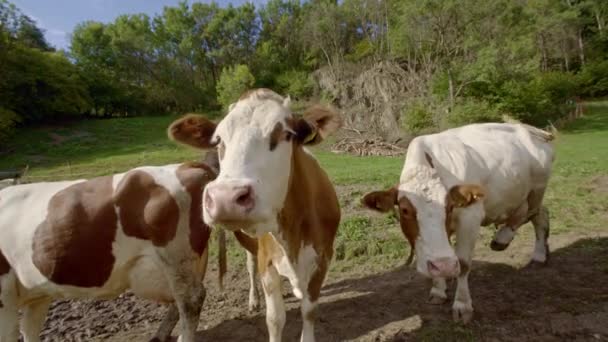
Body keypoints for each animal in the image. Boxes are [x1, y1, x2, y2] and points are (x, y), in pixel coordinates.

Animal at [0, 160, 223, 342]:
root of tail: (185, 166)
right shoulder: (37, 296)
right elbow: (29, 330)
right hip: (187, 263)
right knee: (181, 302)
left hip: (175, 256)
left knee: (190, 300)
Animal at [169, 88, 342, 342]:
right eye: (219, 139)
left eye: (286, 134)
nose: (225, 197)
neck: (293, 235)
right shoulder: (266, 259)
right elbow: (275, 319)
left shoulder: (324, 256)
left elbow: (309, 311)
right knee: (250, 266)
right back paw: (254, 299)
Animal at [360, 122, 556, 324]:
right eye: (405, 210)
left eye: (449, 206)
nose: (445, 266)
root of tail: (532, 130)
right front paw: (438, 289)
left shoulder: (471, 216)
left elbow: (463, 263)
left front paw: (462, 305)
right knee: (540, 215)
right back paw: (539, 254)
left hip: (536, 190)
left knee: (530, 213)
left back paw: (504, 238)